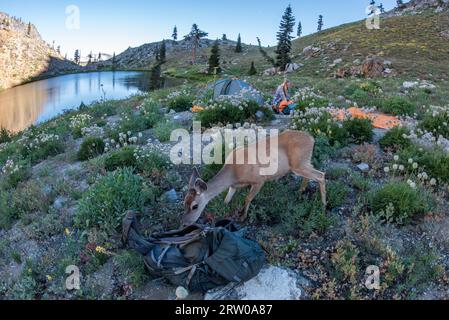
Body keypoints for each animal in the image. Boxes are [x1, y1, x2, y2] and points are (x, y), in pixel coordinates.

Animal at [182, 129, 326, 225]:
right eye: (184, 202)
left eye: (195, 206)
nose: (184, 223)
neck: (234, 173)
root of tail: (312, 139)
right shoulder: (233, 186)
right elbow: (226, 200)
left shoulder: (259, 180)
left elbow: (247, 198)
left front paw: (242, 217)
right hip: (304, 162)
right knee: (312, 174)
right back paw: (301, 192)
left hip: (298, 164)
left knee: (321, 175)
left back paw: (323, 205)